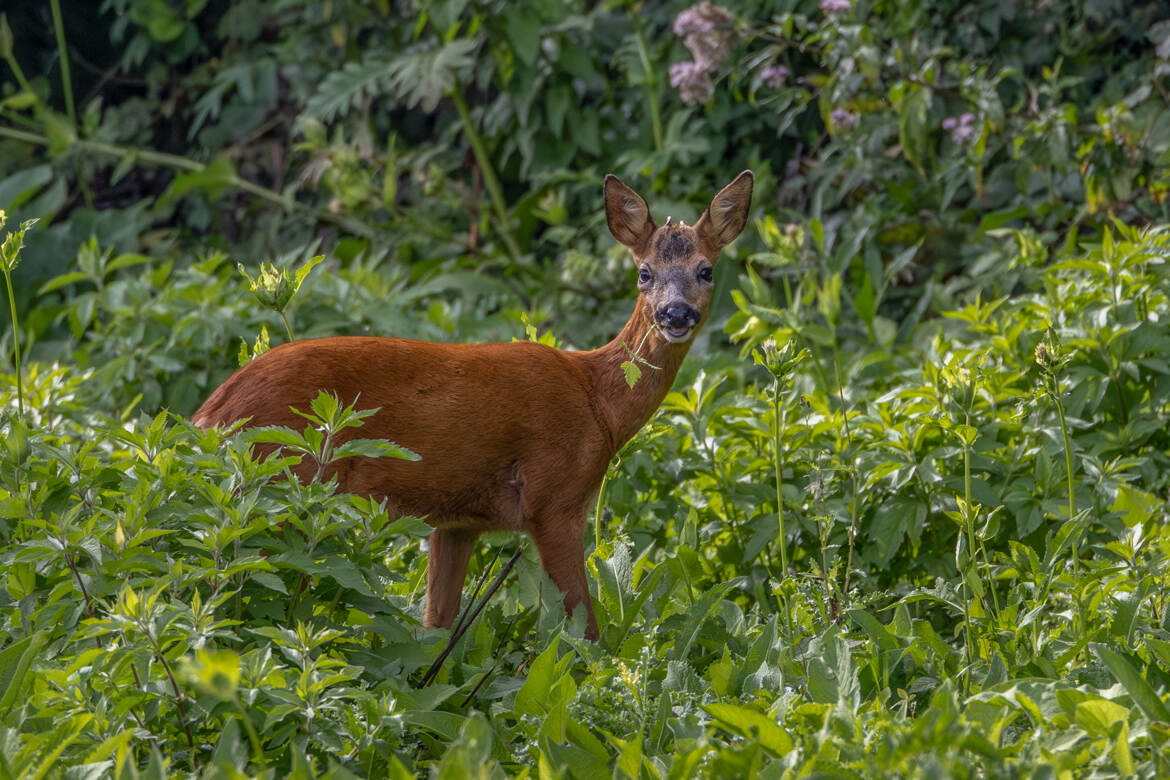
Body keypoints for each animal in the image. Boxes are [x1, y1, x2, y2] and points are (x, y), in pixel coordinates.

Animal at [191, 170, 753, 640]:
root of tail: (209, 416)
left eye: (706, 270)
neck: (596, 400)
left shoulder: (457, 521)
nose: (675, 314)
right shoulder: (553, 497)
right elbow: (585, 628)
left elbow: (436, 625)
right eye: (644, 272)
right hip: (285, 488)